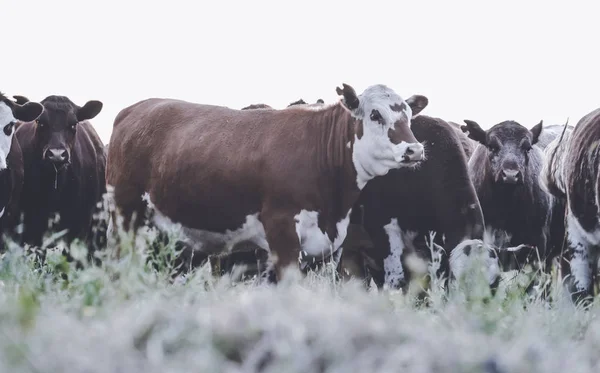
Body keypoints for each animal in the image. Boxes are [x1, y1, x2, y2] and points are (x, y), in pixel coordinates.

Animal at [105, 83, 428, 280]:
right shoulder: (282, 233)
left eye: (408, 115)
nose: (414, 150)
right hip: (124, 218)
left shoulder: (330, 246)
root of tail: (135, 109)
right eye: (375, 114)